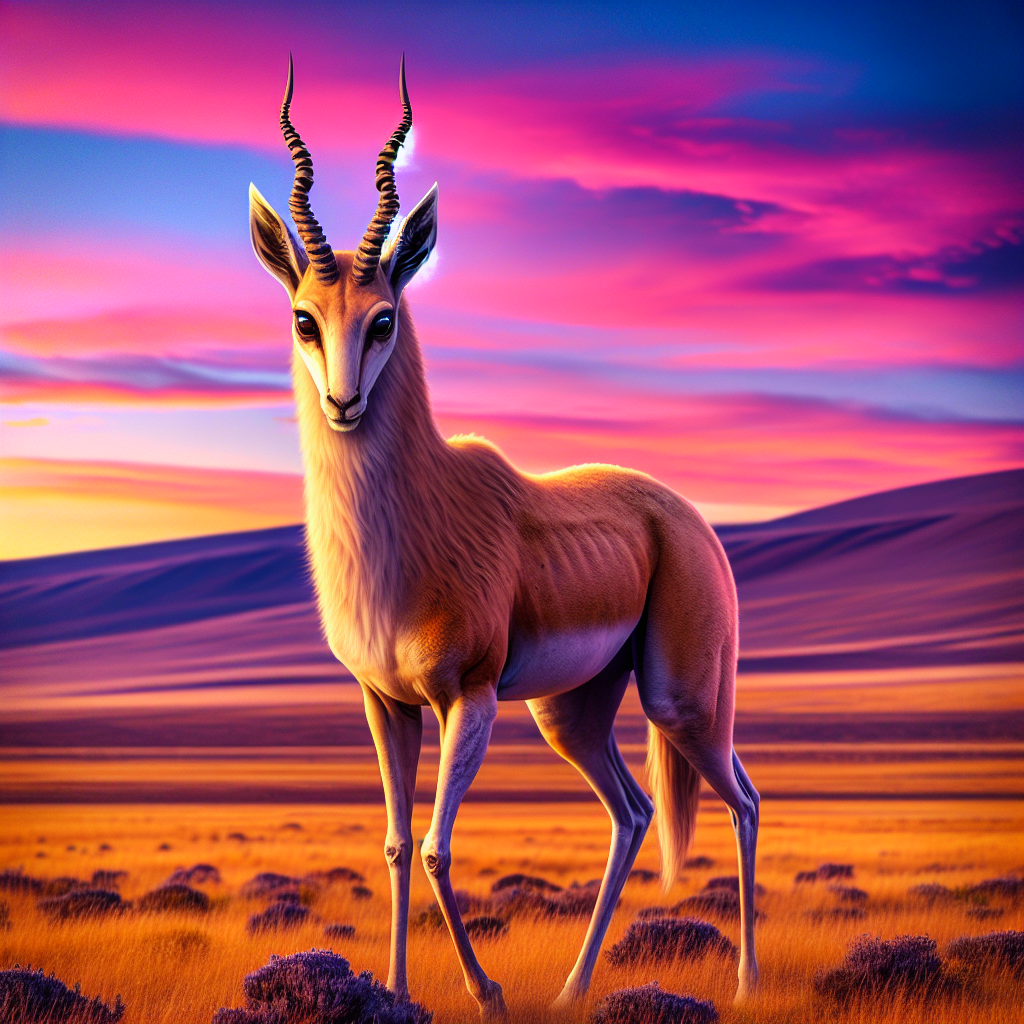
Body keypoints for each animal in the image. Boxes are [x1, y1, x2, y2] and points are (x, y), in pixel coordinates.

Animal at [248, 55, 759, 1020]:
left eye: (383, 317)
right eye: (304, 317)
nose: (343, 403)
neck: (414, 531)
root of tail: (684, 514)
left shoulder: (471, 698)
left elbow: (441, 848)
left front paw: (484, 992)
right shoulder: (384, 701)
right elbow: (396, 845)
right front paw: (396, 988)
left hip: (680, 699)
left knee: (743, 797)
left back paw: (748, 980)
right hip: (572, 713)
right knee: (634, 812)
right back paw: (572, 989)